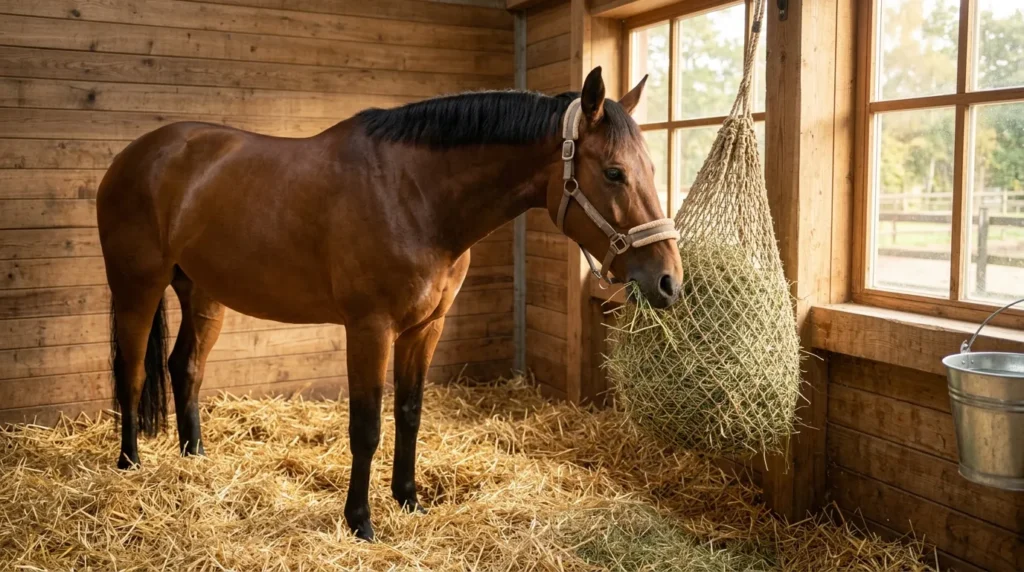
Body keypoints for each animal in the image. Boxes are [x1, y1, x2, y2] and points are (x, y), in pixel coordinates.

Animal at [96, 66, 683, 541]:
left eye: (652, 169)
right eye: (613, 172)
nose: (669, 282)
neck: (415, 195)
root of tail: (135, 155)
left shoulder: (425, 328)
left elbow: (409, 414)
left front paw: (409, 499)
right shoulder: (369, 329)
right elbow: (367, 427)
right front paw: (360, 522)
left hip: (203, 292)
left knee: (186, 366)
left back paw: (194, 457)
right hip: (136, 287)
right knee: (132, 372)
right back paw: (129, 464)